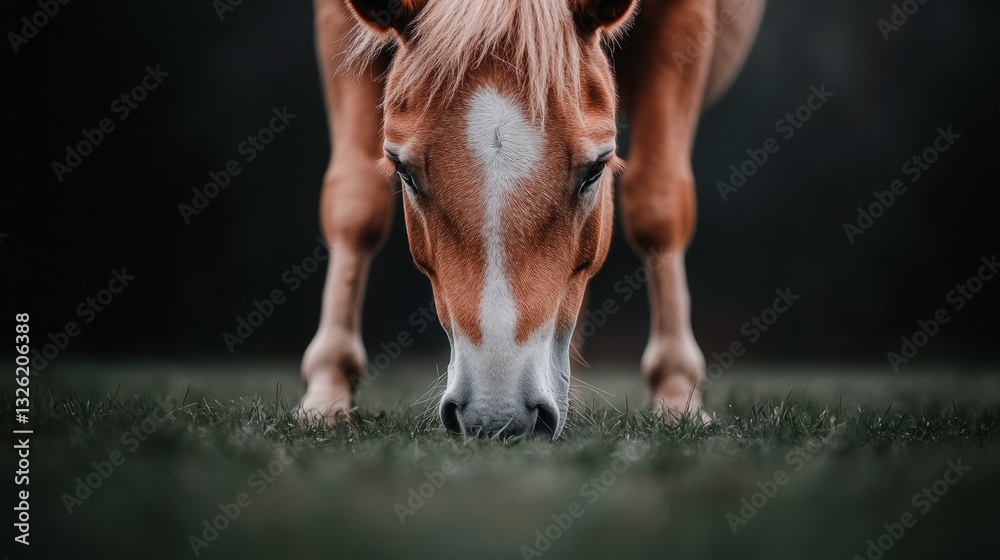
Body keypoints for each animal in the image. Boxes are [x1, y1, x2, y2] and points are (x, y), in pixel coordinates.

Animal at [299, 0, 765, 439]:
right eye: (403, 171)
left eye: (596, 169)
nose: (497, 416)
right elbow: (355, 201)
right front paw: (327, 393)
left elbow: (658, 204)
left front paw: (677, 394)